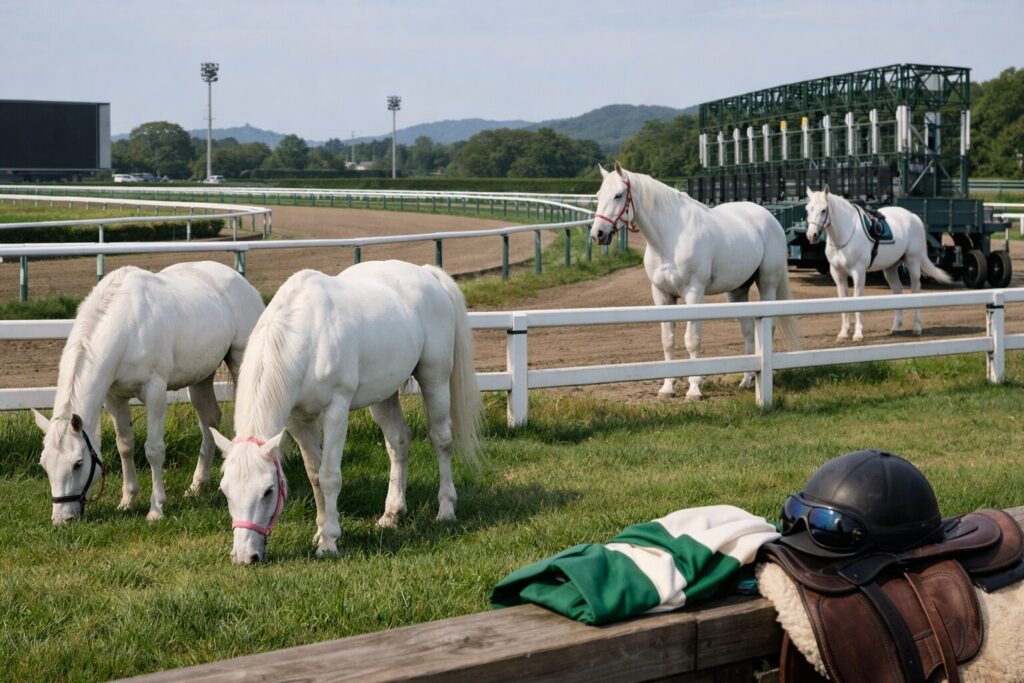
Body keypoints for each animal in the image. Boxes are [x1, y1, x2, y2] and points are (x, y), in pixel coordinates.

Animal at [32, 261, 265, 524]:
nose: (62, 518)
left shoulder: (155, 392)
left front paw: (156, 509)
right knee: (209, 421)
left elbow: (154, 450)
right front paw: (127, 501)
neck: (127, 326)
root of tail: (243, 282)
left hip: (240, 361)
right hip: (201, 376)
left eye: (78, 464)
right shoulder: (115, 398)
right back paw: (197, 486)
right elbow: (125, 446)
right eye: (44, 465)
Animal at [210, 260, 482, 565]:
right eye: (225, 491)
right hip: (384, 393)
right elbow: (315, 475)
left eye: (268, 491)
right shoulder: (299, 420)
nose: (245, 557)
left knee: (441, 440)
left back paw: (446, 510)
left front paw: (329, 542)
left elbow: (330, 476)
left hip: (435, 378)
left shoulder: (336, 411)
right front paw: (320, 532)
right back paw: (392, 514)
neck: (306, 338)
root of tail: (428, 273)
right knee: (398, 442)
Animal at [590, 162, 801, 400]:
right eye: (598, 195)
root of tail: (769, 217)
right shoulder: (662, 295)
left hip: (767, 285)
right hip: (737, 291)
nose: (598, 234)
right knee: (748, 330)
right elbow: (668, 340)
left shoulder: (693, 293)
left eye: (618, 195)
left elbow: (692, 340)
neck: (670, 239)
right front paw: (667, 388)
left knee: (767, 326)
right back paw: (747, 380)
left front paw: (694, 389)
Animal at [804, 186, 954, 341]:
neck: (845, 235)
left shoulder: (858, 272)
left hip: (913, 262)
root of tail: (914, 217)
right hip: (890, 267)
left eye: (824, 210)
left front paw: (858, 334)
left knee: (915, 290)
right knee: (898, 290)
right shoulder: (837, 273)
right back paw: (896, 327)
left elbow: (857, 299)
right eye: (808, 208)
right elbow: (843, 300)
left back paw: (917, 328)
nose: (811, 235)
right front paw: (843, 333)